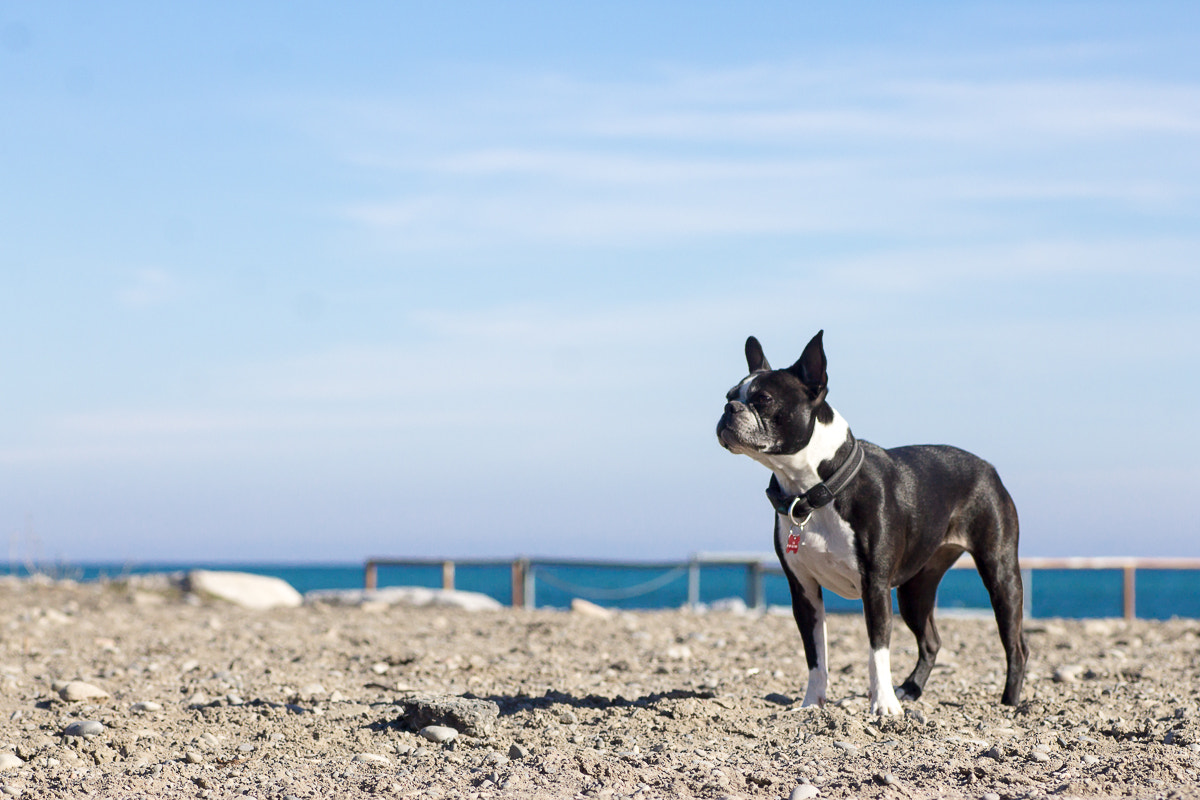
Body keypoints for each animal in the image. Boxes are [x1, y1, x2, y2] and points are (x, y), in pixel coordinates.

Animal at [715, 331, 1027, 714]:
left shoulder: (874, 586)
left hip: (1000, 572)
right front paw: (811, 704)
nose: (729, 409)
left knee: (1015, 644)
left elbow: (877, 649)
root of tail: (989, 468)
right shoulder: (803, 591)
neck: (814, 490)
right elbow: (815, 655)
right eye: (729, 395)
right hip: (915, 589)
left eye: (763, 399)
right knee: (931, 641)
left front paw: (884, 705)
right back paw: (910, 689)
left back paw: (1009, 702)